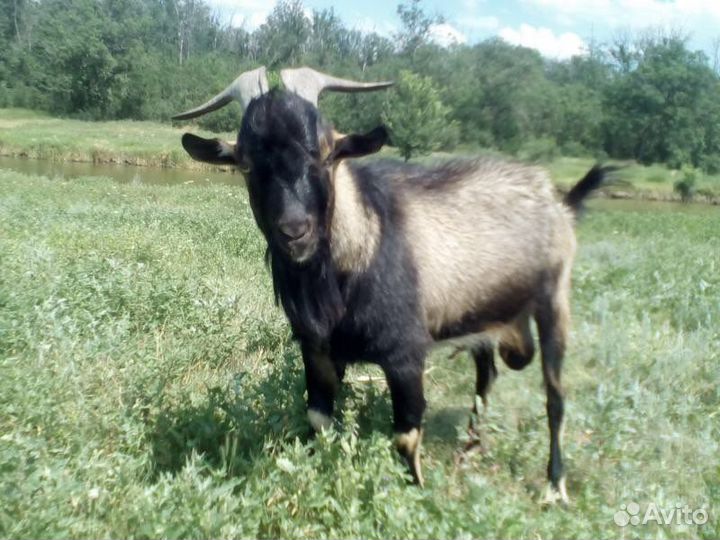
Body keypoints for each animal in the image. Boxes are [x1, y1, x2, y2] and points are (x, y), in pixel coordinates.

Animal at [173, 66, 609, 504]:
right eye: (245, 164)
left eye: (327, 153)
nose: (295, 231)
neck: (363, 243)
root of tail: (558, 200)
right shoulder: (317, 349)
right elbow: (317, 416)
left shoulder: (405, 353)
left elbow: (406, 435)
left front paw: (414, 493)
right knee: (487, 377)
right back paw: (470, 449)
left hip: (554, 300)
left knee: (555, 396)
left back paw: (555, 484)